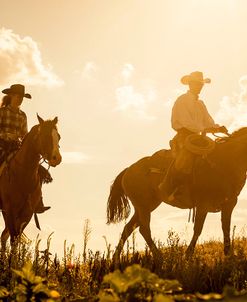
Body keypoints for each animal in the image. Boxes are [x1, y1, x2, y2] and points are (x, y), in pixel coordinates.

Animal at [0, 114, 61, 249]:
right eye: (45, 135)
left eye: (58, 136)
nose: (57, 158)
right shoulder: (9, 209)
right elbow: (14, 238)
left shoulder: (27, 213)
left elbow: (15, 238)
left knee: (4, 236)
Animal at [106, 127, 247, 262]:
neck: (224, 164)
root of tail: (128, 170)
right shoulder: (203, 205)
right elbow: (198, 229)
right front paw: (188, 255)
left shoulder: (229, 204)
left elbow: (226, 227)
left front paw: (229, 254)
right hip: (143, 206)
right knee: (143, 229)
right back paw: (159, 257)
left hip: (146, 206)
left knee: (129, 228)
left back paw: (115, 258)